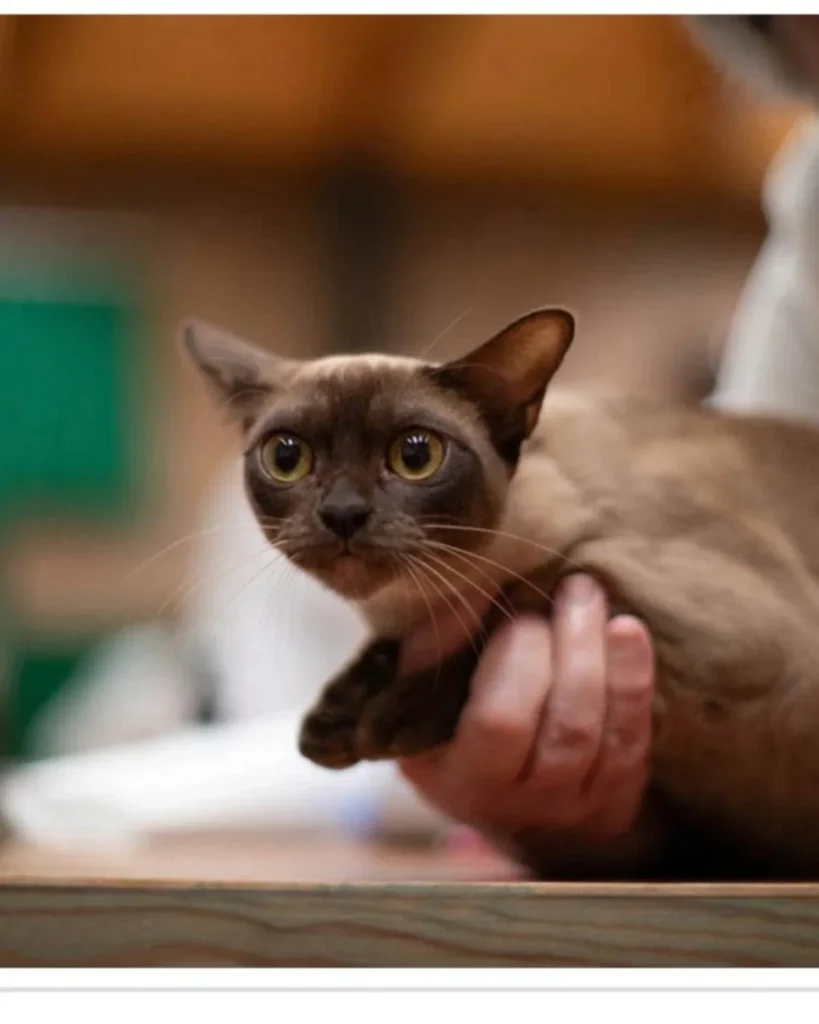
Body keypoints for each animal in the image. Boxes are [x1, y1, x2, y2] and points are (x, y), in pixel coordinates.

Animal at [184, 311, 819, 880]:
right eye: (287, 457)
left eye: (415, 455)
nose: (342, 513)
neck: (417, 602)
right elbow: (386, 649)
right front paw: (334, 719)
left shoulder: (742, 632)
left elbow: (523, 596)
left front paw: (392, 715)